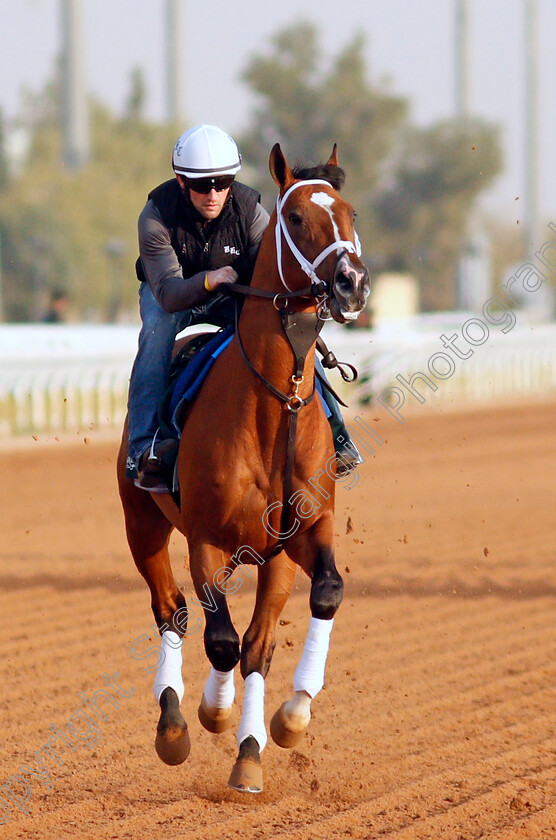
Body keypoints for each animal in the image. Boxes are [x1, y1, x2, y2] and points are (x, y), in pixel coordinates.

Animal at [116, 144, 370, 796]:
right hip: (142, 524)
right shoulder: (206, 539)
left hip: (266, 554)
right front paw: (213, 713)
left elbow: (316, 600)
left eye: (351, 212)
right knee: (173, 610)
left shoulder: (301, 531)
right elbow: (221, 640)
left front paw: (281, 726)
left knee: (249, 638)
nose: (352, 283)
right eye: (298, 217)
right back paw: (176, 725)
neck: (271, 411)